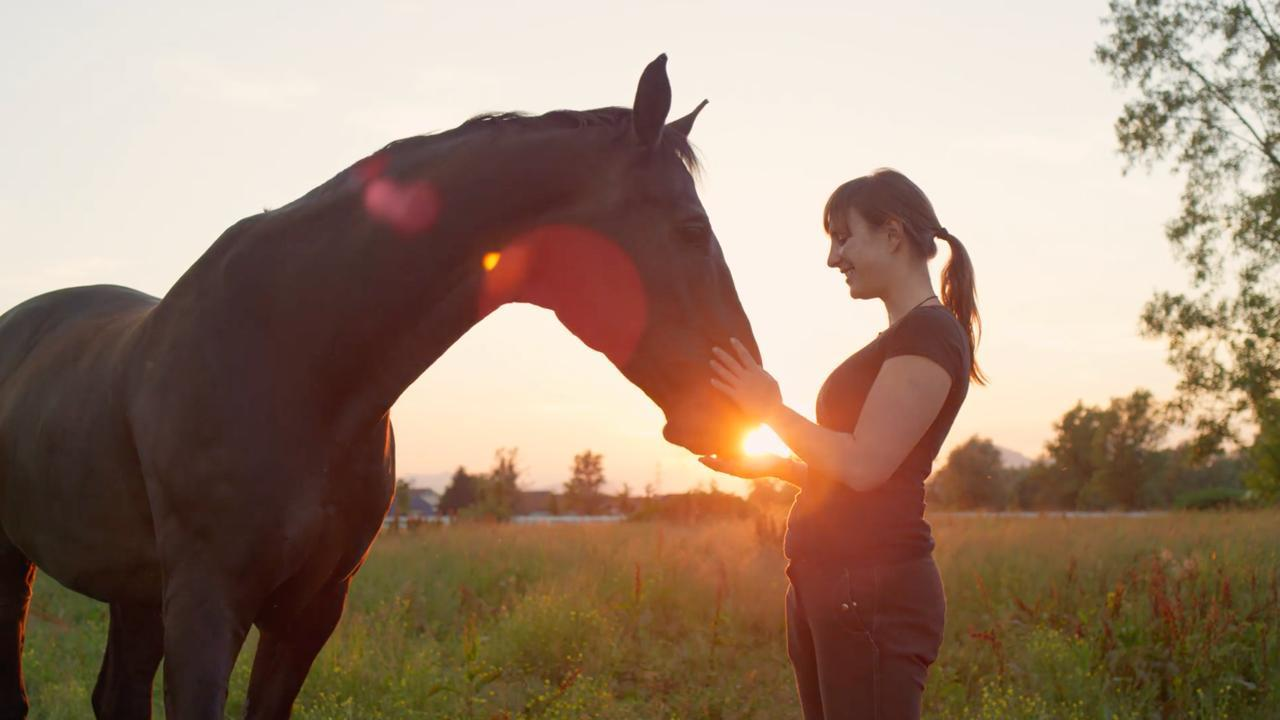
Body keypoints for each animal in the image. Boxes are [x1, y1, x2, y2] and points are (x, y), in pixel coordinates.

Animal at [0, 57, 757, 717]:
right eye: (692, 230)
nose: (743, 398)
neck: (294, 362)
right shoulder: (206, 606)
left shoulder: (310, 611)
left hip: (134, 591)